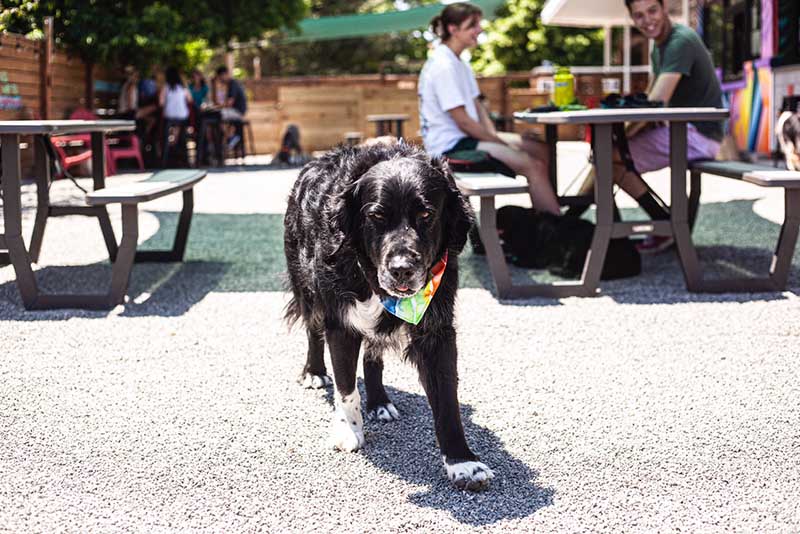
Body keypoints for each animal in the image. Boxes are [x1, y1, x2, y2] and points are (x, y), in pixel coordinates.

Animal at [282, 141, 494, 490]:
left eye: (426, 215)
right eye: (376, 216)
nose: (402, 269)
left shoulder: (436, 330)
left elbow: (448, 401)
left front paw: (463, 462)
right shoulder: (340, 322)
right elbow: (345, 386)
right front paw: (349, 429)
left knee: (373, 354)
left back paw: (379, 401)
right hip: (306, 287)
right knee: (313, 330)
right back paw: (314, 371)